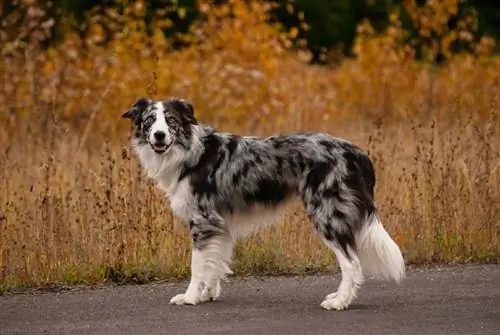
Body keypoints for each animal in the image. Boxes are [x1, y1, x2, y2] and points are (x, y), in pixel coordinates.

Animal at [122, 96, 406, 312]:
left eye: (171, 120)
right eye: (149, 120)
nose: (159, 136)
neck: (190, 153)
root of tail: (355, 152)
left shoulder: (202, 221)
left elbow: (198, 265)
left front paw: (191, 297)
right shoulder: (219, 225)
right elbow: (215, 263)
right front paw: (207, 294)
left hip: (327, 214)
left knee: (352, 262)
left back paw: (339, 302)